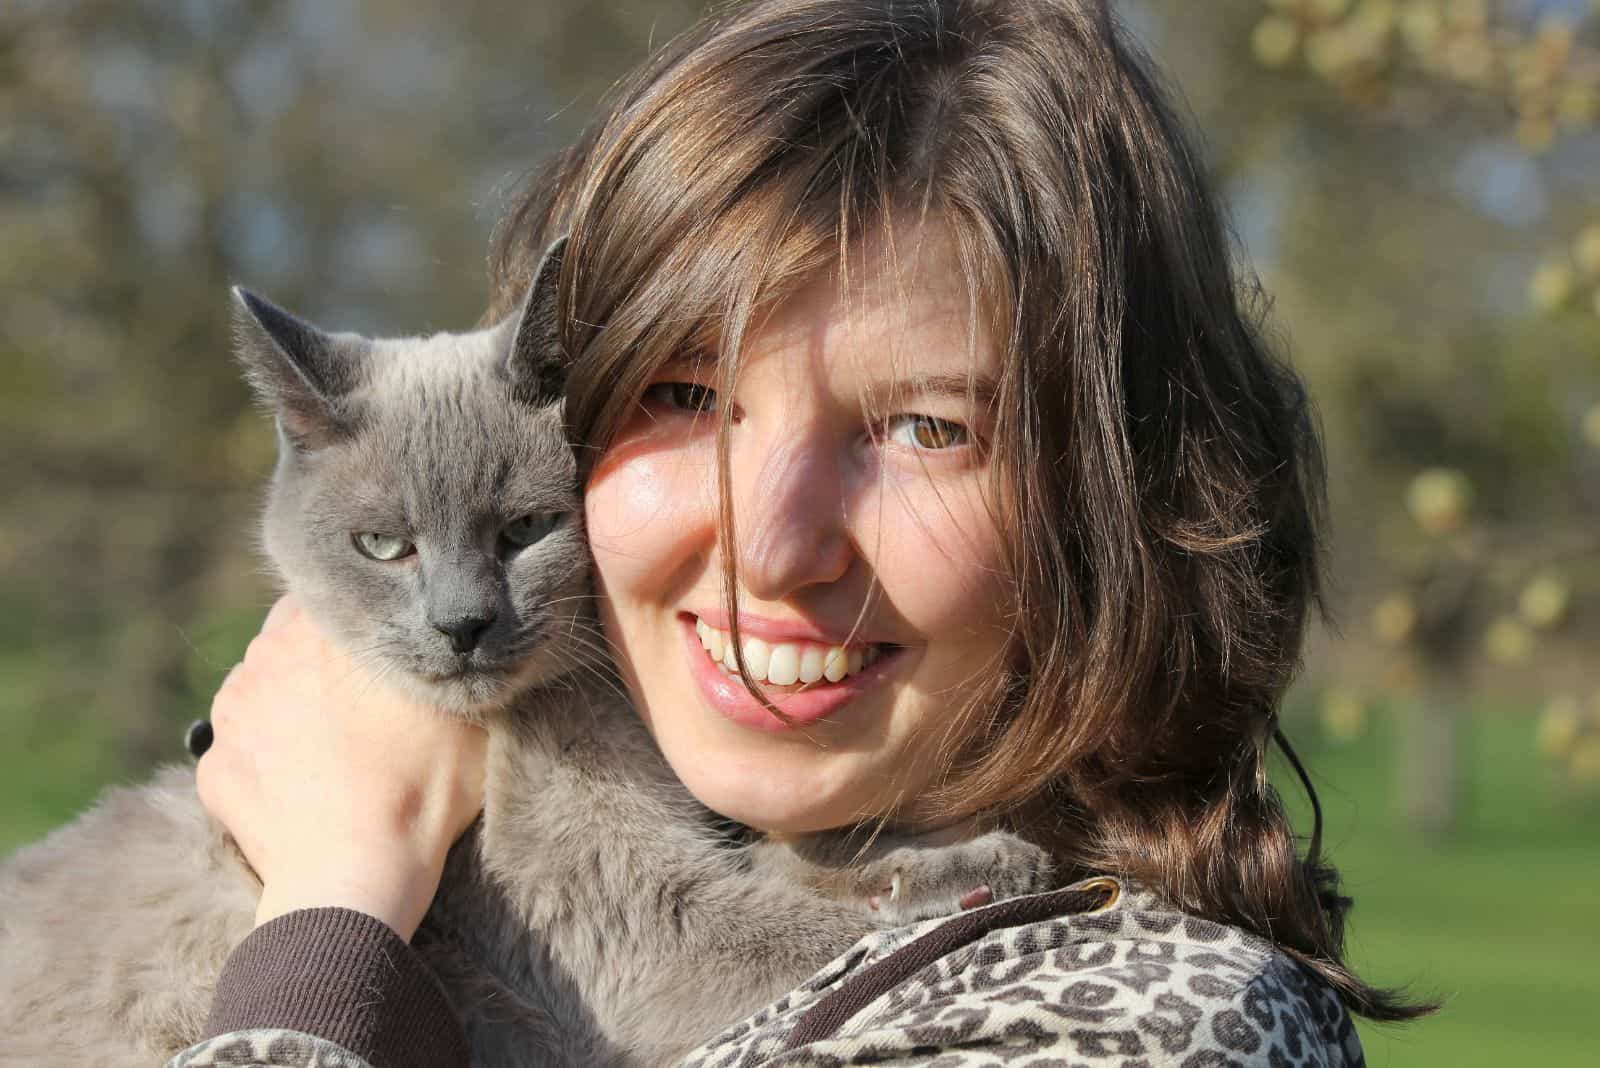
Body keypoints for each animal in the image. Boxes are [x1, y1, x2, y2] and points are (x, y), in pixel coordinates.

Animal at [0, 241, 1049, 1068]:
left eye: (525, 531)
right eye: (384, 546)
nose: (462, 623)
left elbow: (806, 860)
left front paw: (985, 864)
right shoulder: (626, 928)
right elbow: (791, 924)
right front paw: (980, 884)